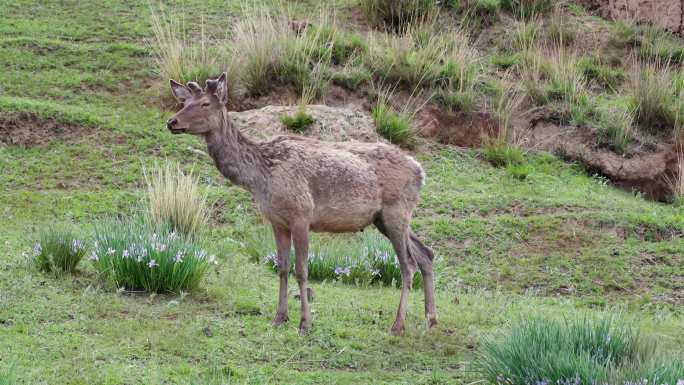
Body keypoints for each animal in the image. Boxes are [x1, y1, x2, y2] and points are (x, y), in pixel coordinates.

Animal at [167, 73, 438, 332]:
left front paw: (305, 322)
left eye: (205, 103)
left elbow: (301, 270)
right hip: (385, 218)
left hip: (396, 211)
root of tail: (420, 171)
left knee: (408, 265)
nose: (172, 122)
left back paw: (398, 324)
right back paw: (431, 318)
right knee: (426, 254)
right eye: (184, 103)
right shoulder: (277, 221)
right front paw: (279, 318)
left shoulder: (301, 214)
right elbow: (282, 267)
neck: (260, 176)